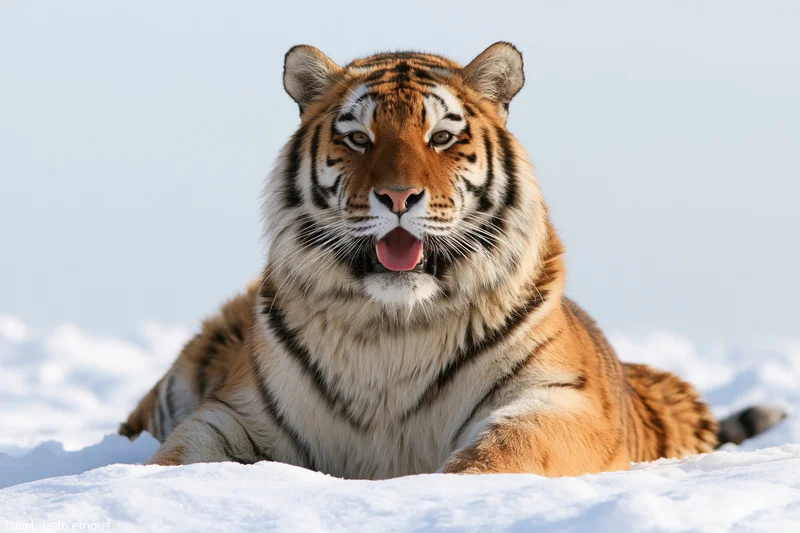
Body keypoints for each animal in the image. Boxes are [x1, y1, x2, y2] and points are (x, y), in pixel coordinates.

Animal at [120, 42, 786, 477]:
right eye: (357, 138)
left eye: (441, 137)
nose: (397, 197)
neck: (391, 330)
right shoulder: (237, 411)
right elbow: (176, 457)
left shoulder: (555, 401)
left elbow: (501, 455)